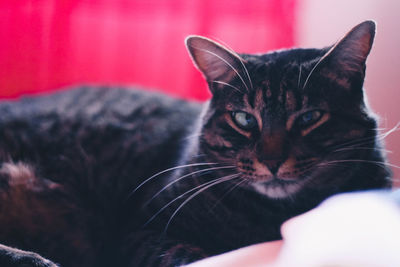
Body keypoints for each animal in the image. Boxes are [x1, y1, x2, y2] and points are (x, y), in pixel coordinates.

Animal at [0, 19, 390, 266]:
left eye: (310, 118)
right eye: (244, 119)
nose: (272, 160)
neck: (274, 218)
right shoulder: (141, 231)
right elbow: (188, 256)